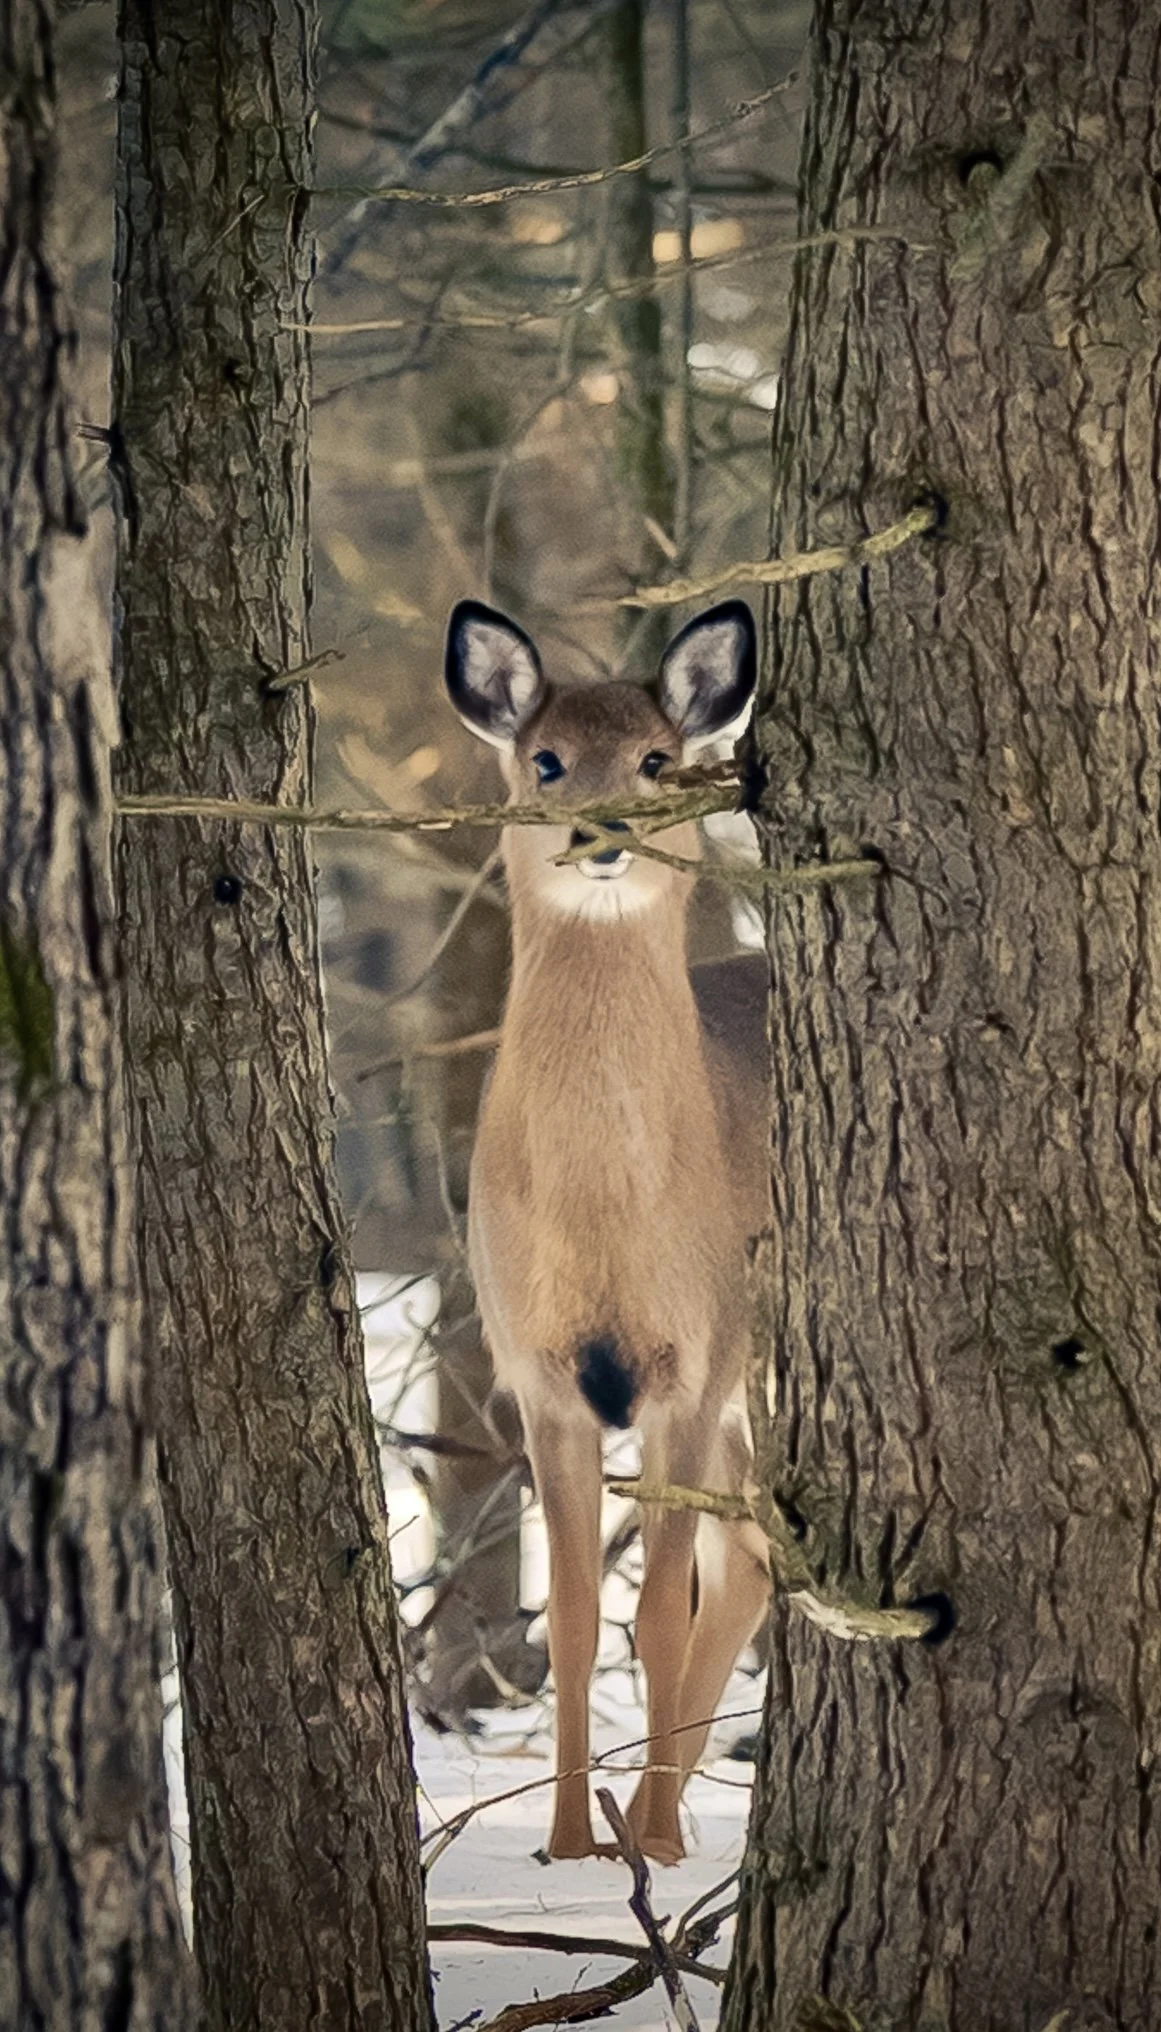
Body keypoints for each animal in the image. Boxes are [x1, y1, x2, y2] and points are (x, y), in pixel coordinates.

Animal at [444, 597, 771, 1863]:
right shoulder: (540, 1371)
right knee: (754, 1560)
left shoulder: (693, 1357)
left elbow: (659, 1608)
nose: (604, 831)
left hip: (757, 1361)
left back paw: (669, 1813)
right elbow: (579, 1617)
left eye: (657, 759)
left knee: (742, 1565)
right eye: (544, 758)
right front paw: (573, 1842)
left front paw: (662, 1846)